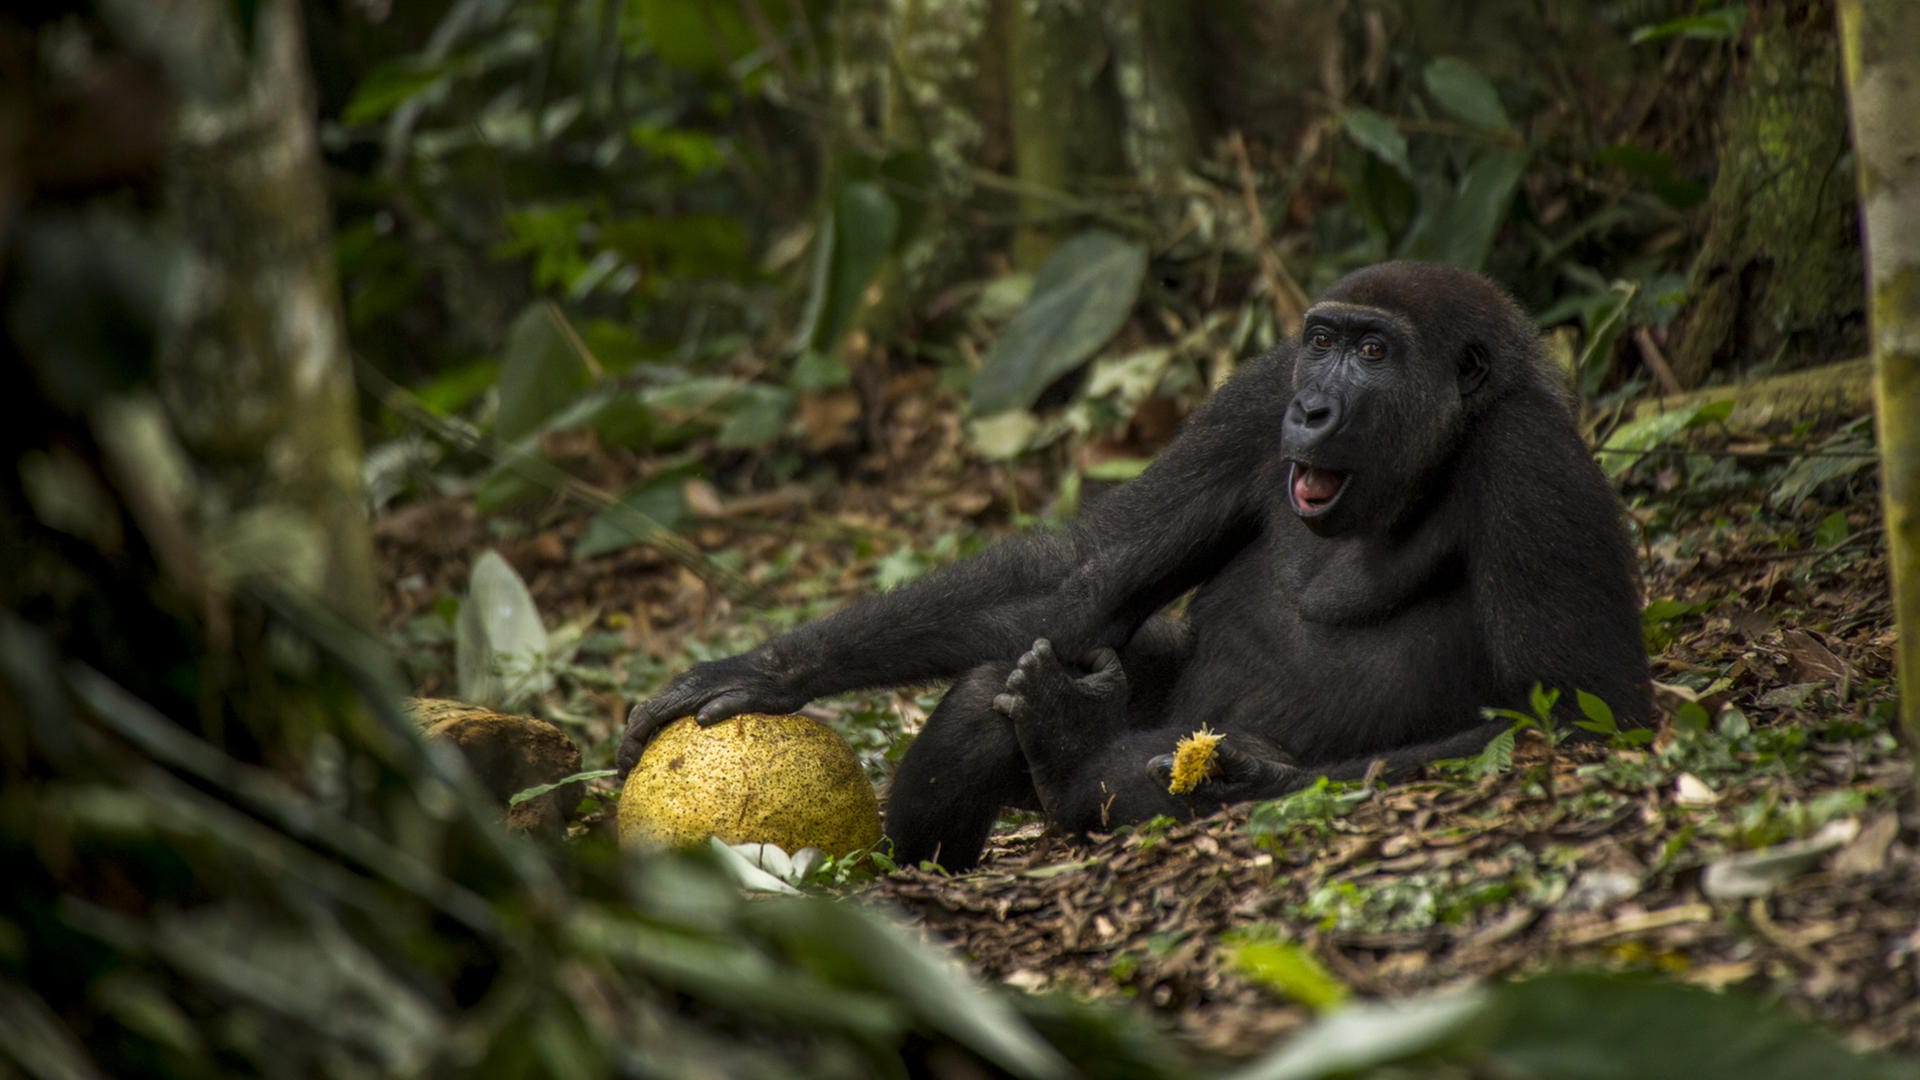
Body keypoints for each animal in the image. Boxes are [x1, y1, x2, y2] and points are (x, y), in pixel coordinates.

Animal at [614, 265, 1651, 868]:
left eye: (1373, 350)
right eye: (1320, 341)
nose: (1313, 409)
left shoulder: (1531, 463)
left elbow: (1579, 714)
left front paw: (1250, 777)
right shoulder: (1253, 396)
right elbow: (1082, 576)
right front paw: (769, 669)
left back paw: (1077, 760)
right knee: (1006, 675)